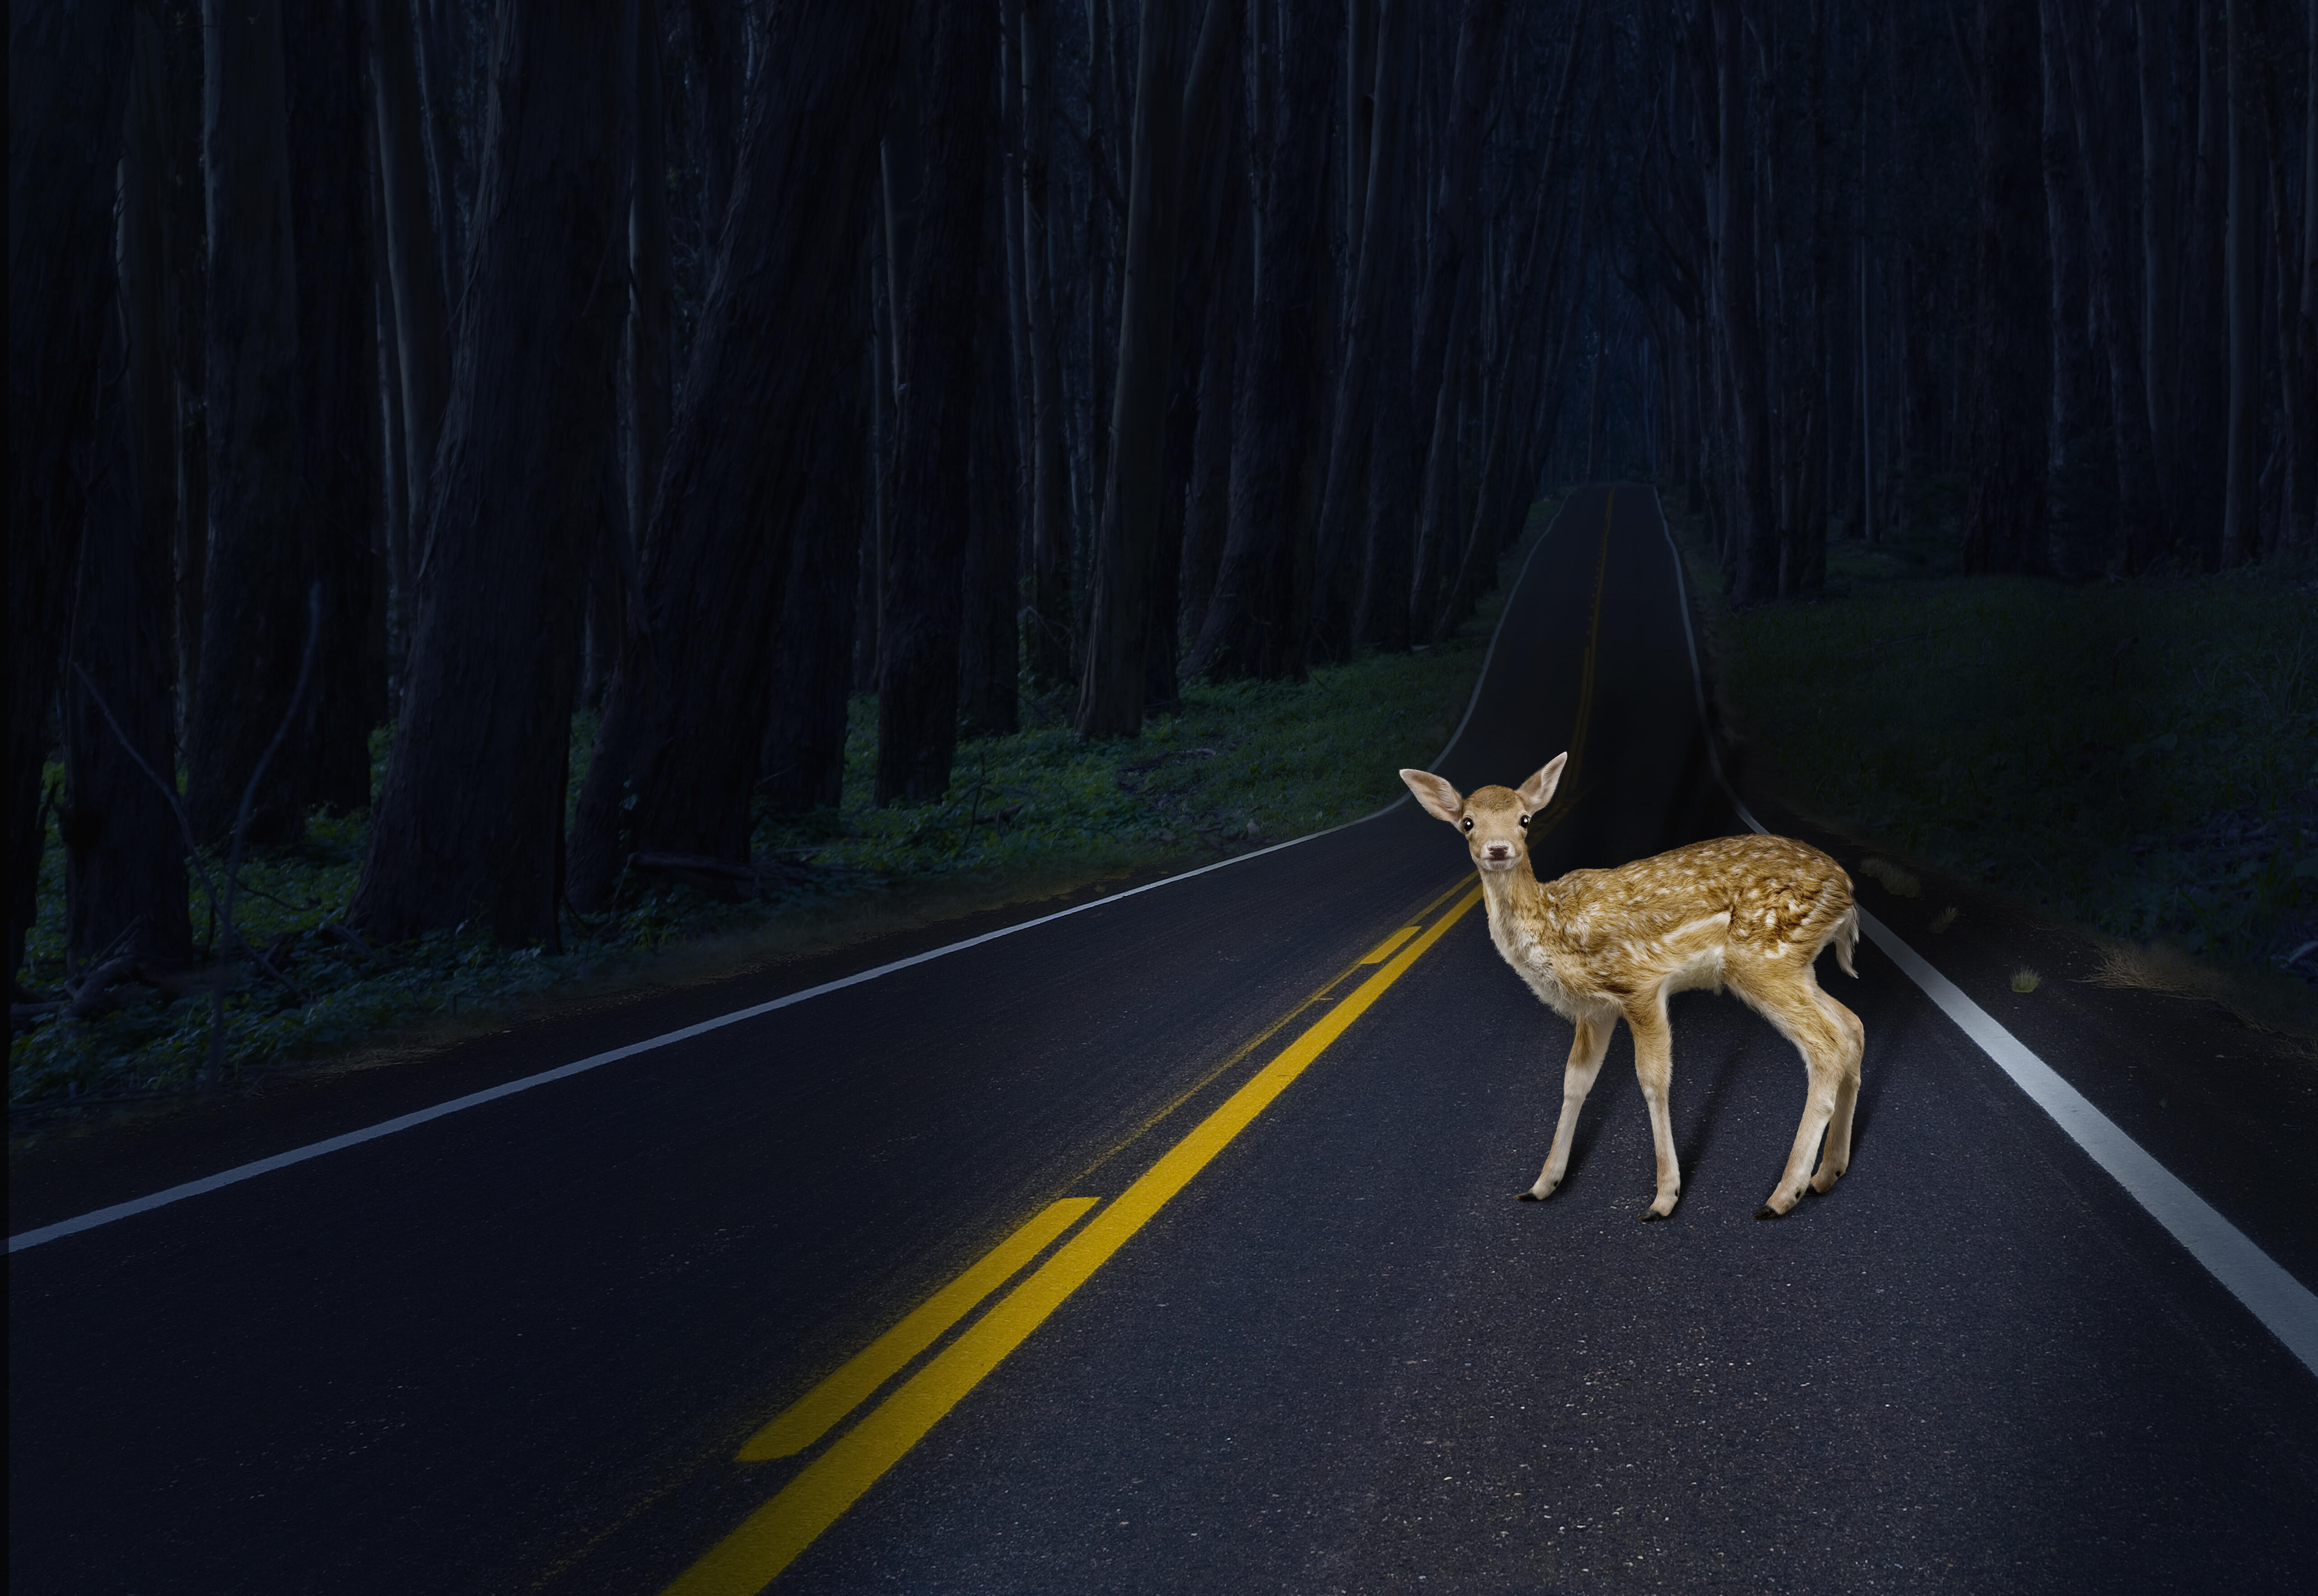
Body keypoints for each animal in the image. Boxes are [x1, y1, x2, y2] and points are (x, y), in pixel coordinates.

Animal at [1390, 756, 1863, 1215]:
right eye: (1467, 822)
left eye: (1524, 819)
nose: (1498, 848)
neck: (1555, 926)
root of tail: (1847, 891)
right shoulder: (1594, 1009)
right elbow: (1575, 1081)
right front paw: (1542, 1185)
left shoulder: (1638, 984)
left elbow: (1653, 1080)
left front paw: (1664, 1198)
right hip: (1795, 966)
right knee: (1851, 1026)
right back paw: (1828, 1173)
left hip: (1763, 959)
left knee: (1826, 1045)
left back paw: (1783, 1195)